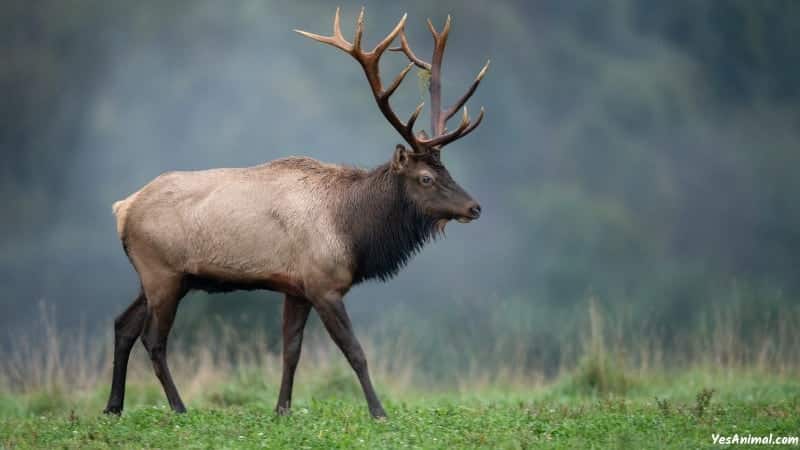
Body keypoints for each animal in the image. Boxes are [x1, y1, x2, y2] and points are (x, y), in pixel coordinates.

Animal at [101, 7, 488, 422]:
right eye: (426, 177)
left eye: (448, 171)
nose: (474, 207)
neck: (353, 232)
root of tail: (122, 208)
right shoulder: (324, 283)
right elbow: (355, 352)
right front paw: (379, 411)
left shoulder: (296, 288)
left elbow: (291, 351)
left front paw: (282, 408)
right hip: (163, 273)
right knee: (153, 339)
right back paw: (178, 407)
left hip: (161, 277)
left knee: (123, 325)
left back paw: (113, 406)